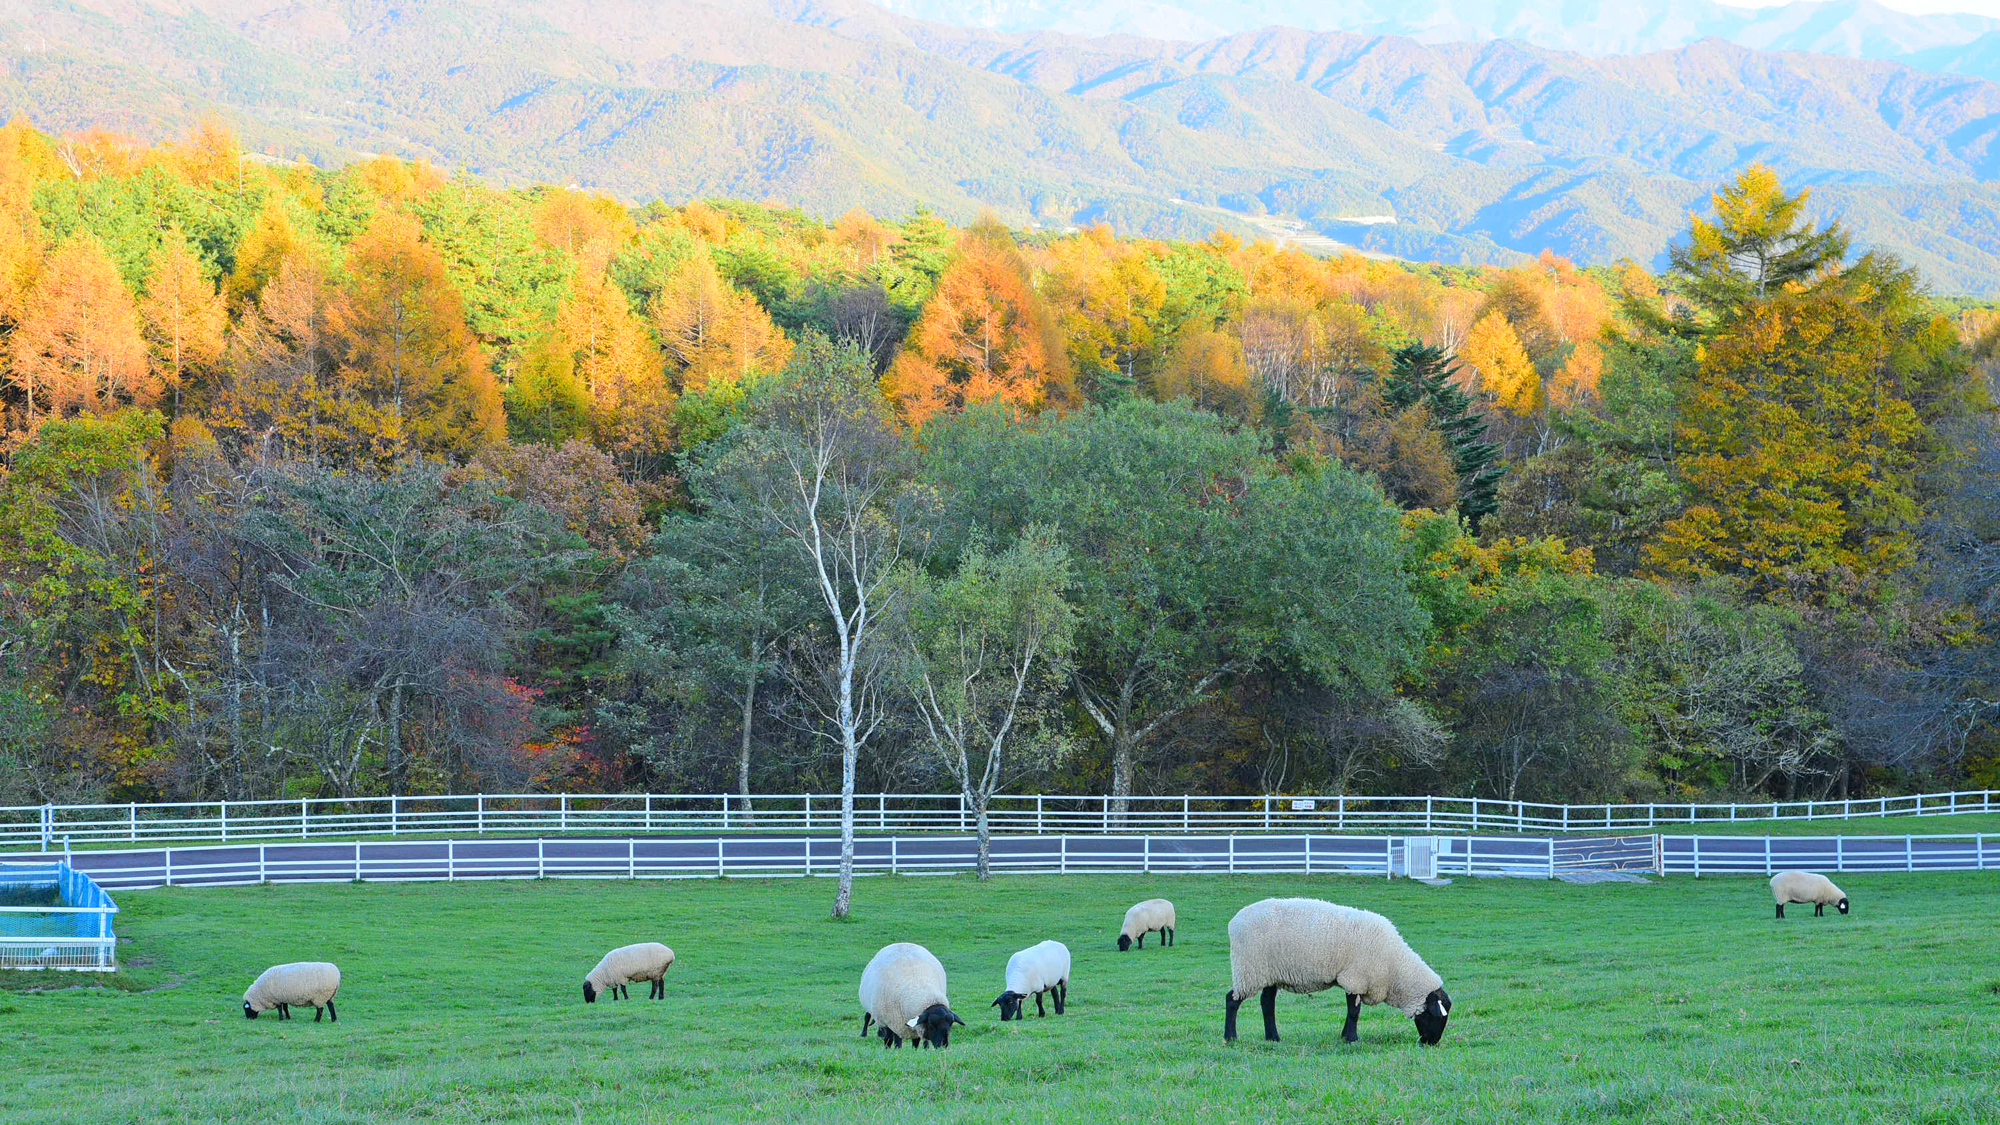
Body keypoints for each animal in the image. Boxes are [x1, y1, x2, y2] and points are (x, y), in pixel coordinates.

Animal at [1216, 892, 1456, 1040]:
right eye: (1437, 1016)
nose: (1431, 1043)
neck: (1395, 968)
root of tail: (1234, 921)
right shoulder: (1356, 978)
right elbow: (1354, 1012)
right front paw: (1352, 1039)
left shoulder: (1354, 980)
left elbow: (1351, 1012)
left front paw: (1344, 1036)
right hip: (1249, 969)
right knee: (1232, 1000)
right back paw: (1231, 1037)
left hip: (1269, 972)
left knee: (1267, 1004)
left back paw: (1273, 1038)